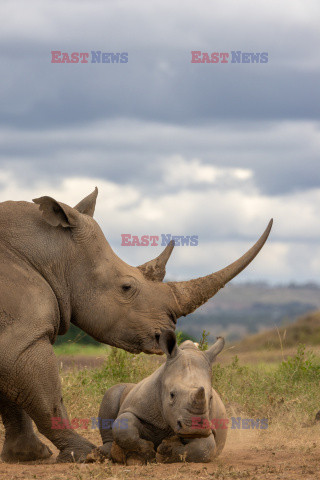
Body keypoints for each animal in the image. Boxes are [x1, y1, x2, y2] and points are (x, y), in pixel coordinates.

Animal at [97, 332, 228, 464]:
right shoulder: (136, 408)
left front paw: (165, 451)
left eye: (210, 398)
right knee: (112, 394)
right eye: (172, 395)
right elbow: (123, 427)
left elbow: (205, 448)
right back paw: (102, 454)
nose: (195, 428)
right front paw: (147, 452)